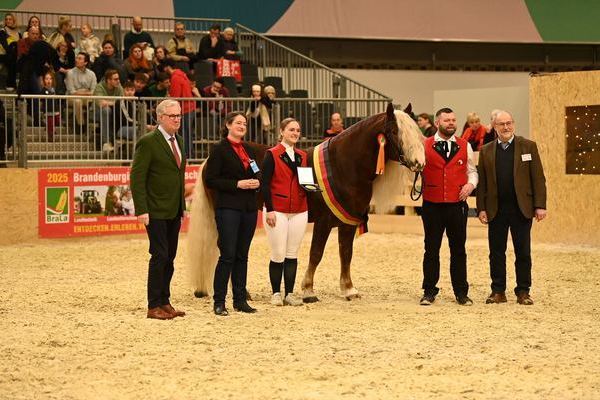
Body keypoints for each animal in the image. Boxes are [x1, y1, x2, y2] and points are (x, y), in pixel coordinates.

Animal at [190, 103, 424, 300]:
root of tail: (208, 160)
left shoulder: (347, 223)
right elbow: (316, 254)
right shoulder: (323, 222)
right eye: (394, 131)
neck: (342, 166)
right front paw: (308, 289)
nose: (419, 163)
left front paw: (349, 289)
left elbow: (346, 254)